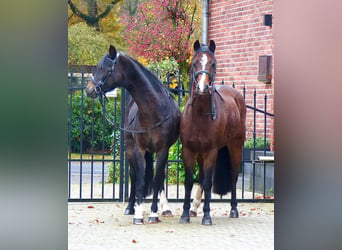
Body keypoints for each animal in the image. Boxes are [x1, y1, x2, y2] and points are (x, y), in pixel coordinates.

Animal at [86, 45, 182, 225]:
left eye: (105, 69)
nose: (89, 90)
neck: (153, 110)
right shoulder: (139, 150)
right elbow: (140, 180)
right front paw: (138, 214)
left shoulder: (163, 150)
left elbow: (157, 180)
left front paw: (154, 213)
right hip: (130, 149)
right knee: (133, 175)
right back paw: (130, 207)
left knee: (160, 178)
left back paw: (164, 208)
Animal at [179, 40, 246, 225]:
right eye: (195, 63)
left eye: (213, 63)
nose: (202, 87)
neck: (200, 116)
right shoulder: (189, 151)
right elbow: (190, 182)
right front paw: (185, 214)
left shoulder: (211, 152)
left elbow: (208, 183)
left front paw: (207, 216)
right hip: (201, 155)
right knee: (201, 179)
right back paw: (195, 209)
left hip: (235, 147)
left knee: (233, 177)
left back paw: (233, 210)